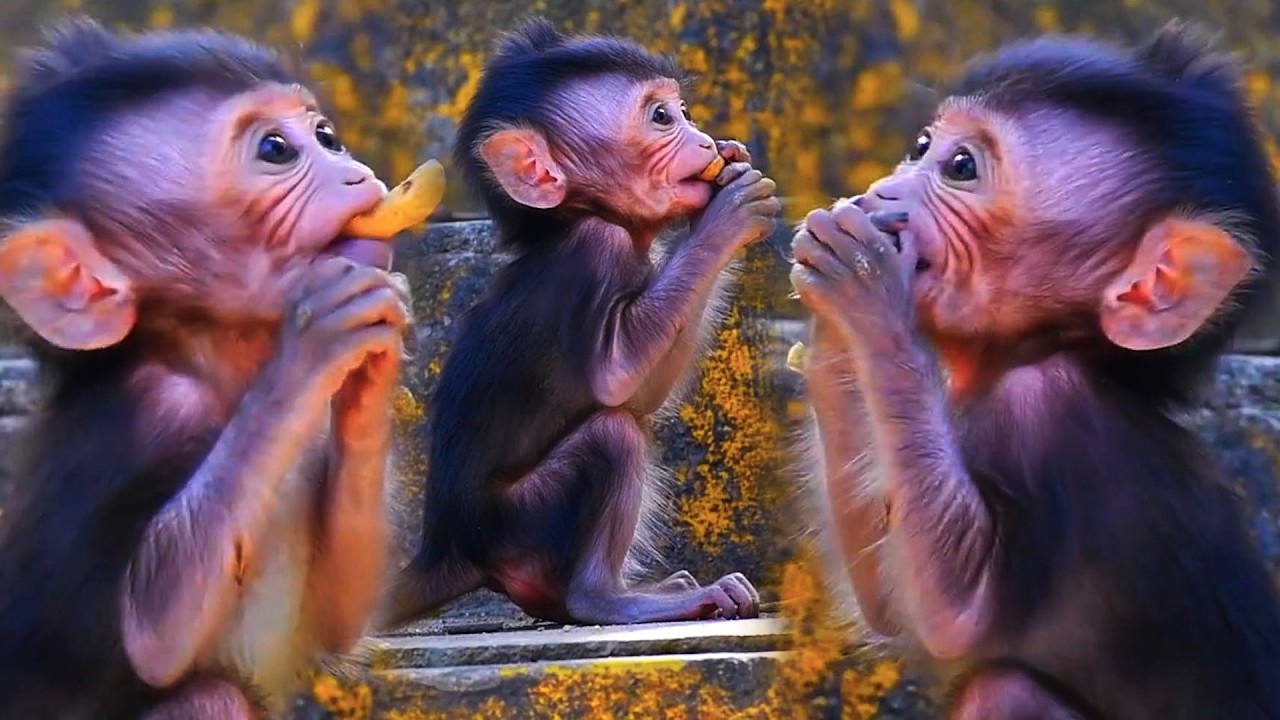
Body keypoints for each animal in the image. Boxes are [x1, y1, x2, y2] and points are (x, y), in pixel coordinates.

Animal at [0, 19, 422, 719]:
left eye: (326, 135)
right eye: (276, 149)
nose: (355, 173)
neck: (219, 358)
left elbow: (339, 615)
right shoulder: (148, 415)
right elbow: (150, 632)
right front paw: (312, 344)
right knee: (209, 696)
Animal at [380, 17, 781, 628]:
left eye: (683, 110)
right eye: (662, 117)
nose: (705, 140)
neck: (574, 219)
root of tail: (449, 547)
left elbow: (645, 391)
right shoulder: (599, 247)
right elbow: (618, 380)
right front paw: (726, 215)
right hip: (518, 522)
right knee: (612, 434)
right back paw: (615, 599)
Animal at [789, 21, 1280, 720]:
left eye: (961, 167)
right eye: (921, 147)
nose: (883, 191)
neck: (1040, 348)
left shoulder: (1041, 405)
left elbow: (958, 613)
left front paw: (864, 286)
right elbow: (890, 604)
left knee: (1004, 688)